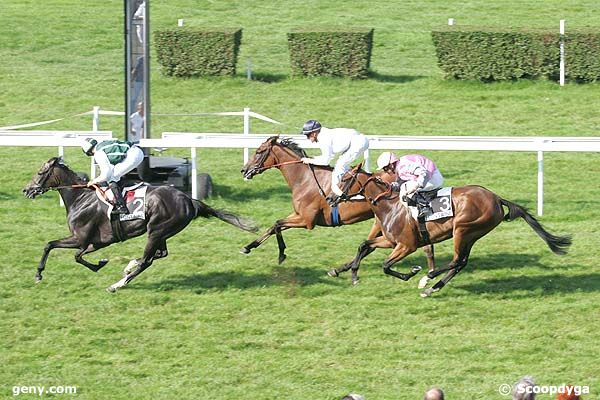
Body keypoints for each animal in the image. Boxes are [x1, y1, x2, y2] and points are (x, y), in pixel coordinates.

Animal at [22, 158, 258, 292]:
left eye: (41, 173)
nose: (27, 190)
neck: (80, 198)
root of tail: (190, 200)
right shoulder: (97, 242)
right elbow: (76, 254)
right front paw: (101, 263)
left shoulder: (80, 238)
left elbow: (55, 247)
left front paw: (39, 274)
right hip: (162, 232)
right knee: (158, 255)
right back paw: (128, 267)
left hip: (156, 230)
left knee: (147, 260)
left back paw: (117, 285)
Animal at [240, 135, 436, 276]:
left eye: (259, 151)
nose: (244, 170)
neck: (304, 178)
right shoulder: (298, 215)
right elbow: (275, 225)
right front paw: (248, 247)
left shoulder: (307, 221)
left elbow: (278, 224)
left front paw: (281, 254)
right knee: (370, 245)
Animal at [338, 173, 572, 296]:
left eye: (345, 179)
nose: (333, 197)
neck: (390, 205)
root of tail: (496, 198)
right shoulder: (390, 240)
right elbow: (364, 245)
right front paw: (353, 274)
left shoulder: (406, 245)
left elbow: (386, 265)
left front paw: (413, 272)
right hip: (472, 234)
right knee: (461, 262)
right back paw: (432, 288)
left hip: (463, 228)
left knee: (457, 260)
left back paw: (428, 278)